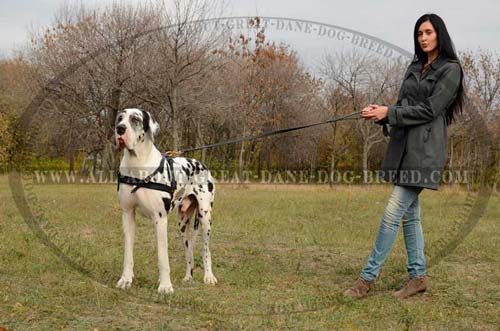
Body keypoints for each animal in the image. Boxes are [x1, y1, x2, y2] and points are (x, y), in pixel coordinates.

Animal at [115, 107, 217, 294]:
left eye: (135, 119)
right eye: (120, 118)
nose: (120, 129)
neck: (137, 165)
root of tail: (200, 163)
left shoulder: (160, 219)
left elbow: (163, 258)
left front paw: (165, 286)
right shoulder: (127, 215)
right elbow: (127, 254)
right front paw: (125, 280)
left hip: (205, 217)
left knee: (206, 249)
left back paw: (209, 277)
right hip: (183, 224)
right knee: (189, 251)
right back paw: (188, 277)